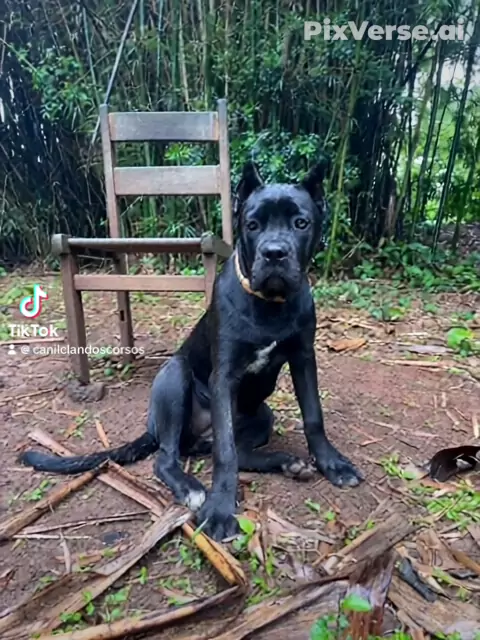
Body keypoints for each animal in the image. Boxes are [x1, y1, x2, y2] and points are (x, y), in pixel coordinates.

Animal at [20, 161, 363, 541]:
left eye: (301, 223)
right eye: (252, 225)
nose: (274, 252)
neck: (270, 305)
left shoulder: (304, 358)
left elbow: (313, 417)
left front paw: (332, 464)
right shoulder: (224, 375)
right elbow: (226, 453)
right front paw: (220, 511)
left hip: (262, 415)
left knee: (230, 450)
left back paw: (285, 462)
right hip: (175, 377)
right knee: (173, 455)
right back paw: (192, 488)